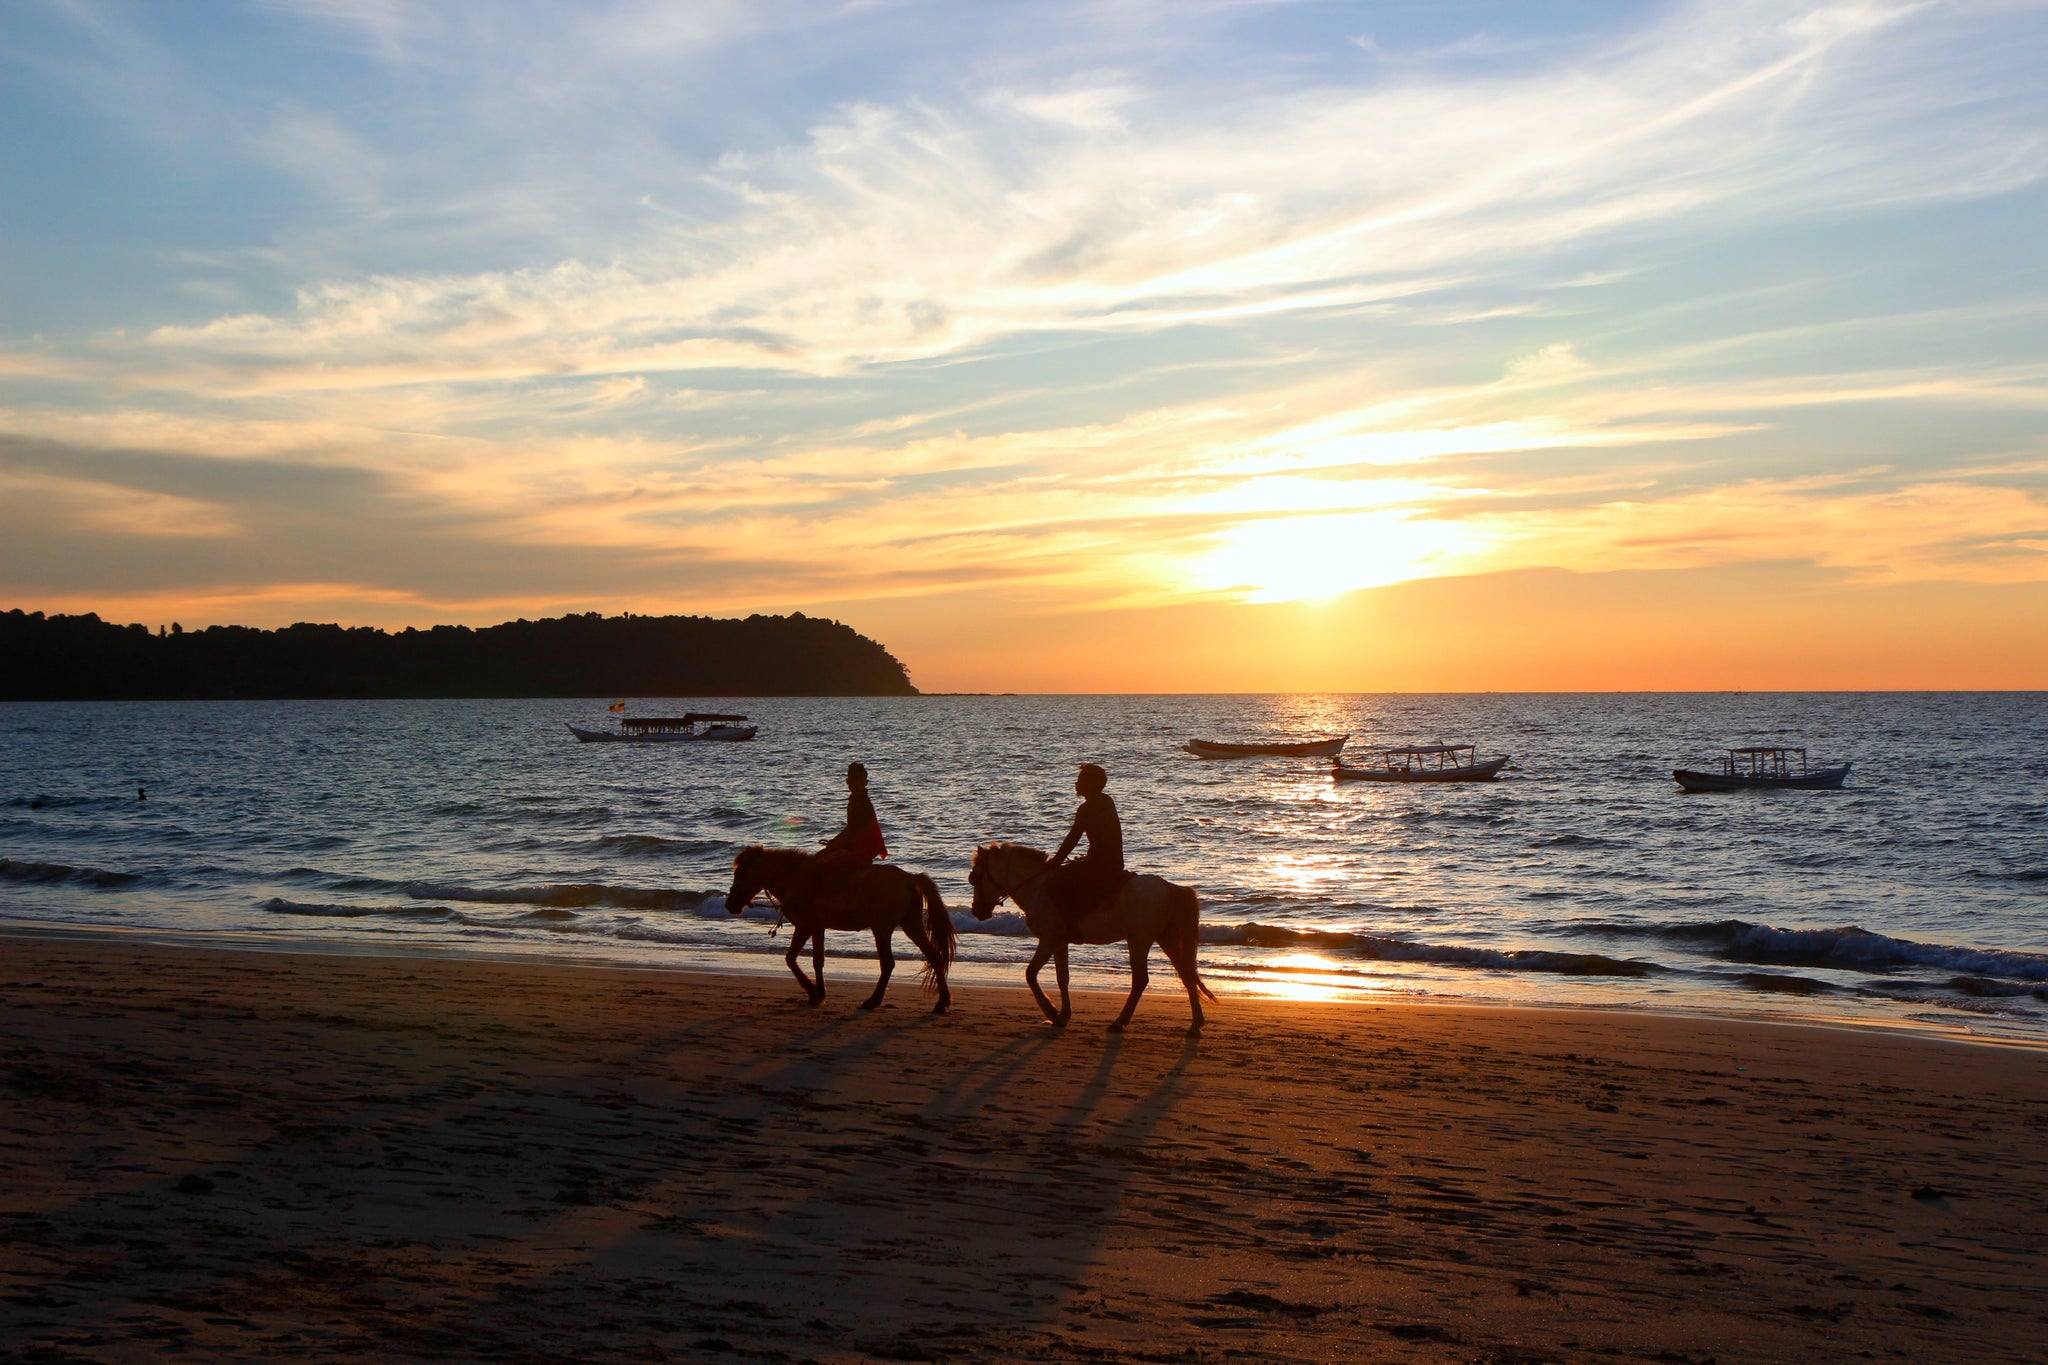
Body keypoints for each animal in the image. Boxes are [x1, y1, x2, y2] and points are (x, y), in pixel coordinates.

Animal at [729, 843, 958, 1015]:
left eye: (741, 872)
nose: (731, 905)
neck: (796, 878)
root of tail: (910, 878)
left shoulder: (805, 926)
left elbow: (791, 958)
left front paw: (813, 991)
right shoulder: (817, 928)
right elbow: (817, 961)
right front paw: (818, 994)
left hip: (882, 929)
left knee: (888, 964)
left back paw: (873, 1001)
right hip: (911, 926)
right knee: (934, 957)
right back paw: (942, 1003)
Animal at [962, 839, 1212, 1031]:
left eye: (974, 877)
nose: (977, 911)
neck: (1039, 888)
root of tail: (1169, 887)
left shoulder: (1048, 940)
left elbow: (1030, 974)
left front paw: (1051, 1011)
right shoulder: (1059, 943)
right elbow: (1062, 977)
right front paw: (1062, 1015)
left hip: (1139, 941)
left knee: (1141, 980)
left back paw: (1120, 1022)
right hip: (1165, 938)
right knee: (1186, 973)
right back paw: (1196, 1024)